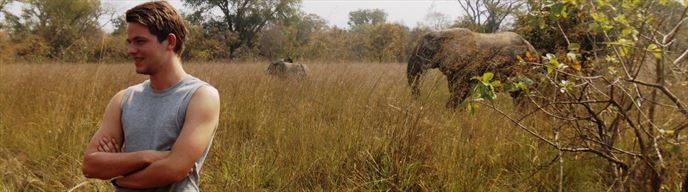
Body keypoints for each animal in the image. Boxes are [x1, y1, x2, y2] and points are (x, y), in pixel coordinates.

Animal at [406, 27, 540, 108]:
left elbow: (460, 92)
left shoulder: (467, 66)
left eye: (425, 52)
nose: (420, 104)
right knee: (519, 97)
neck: (443, 33)